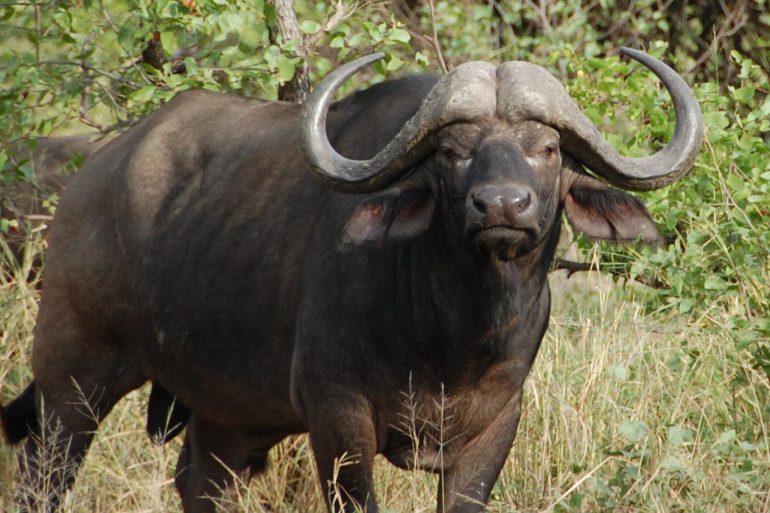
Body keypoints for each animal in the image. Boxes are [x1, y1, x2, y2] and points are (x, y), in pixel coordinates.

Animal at [1, 48, 702, 513]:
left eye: (546, 149)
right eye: (452, 153)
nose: (502, 206)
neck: (452, 336)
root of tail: (93, 176)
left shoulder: (496, 424)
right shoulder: (338, 417)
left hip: (222, 416)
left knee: (201, 485)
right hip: (72, 380)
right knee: (44, 473)